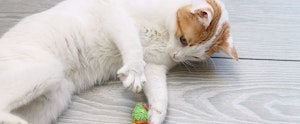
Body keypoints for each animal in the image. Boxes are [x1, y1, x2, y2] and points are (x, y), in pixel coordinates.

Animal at [0, 0, 239, 123]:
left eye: (195, 56)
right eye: (183, 40)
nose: (176, 57)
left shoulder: (154, 67)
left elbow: (159, 92)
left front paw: (156, 114)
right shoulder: (114, 12)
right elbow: (131, 41)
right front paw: (133, 70)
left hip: (53, 99)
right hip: (47, 70)